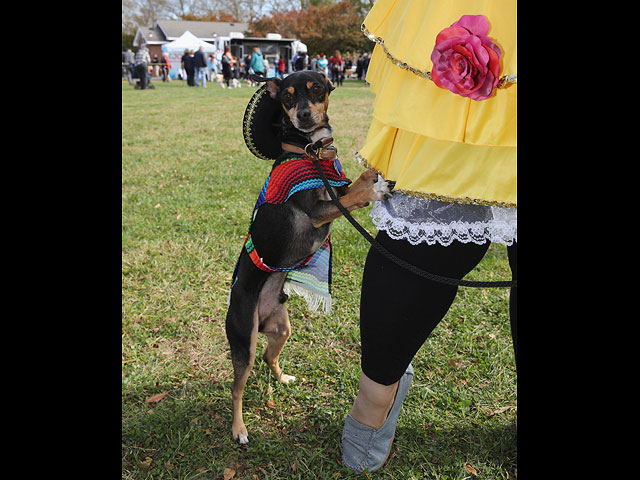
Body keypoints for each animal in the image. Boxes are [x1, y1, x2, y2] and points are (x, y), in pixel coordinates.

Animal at [225, 69, 396, 444]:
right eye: (288, 98)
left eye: (317, 89)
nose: (303, 114)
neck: (310, 151)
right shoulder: (319, 210)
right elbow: (352, 197)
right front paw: (375, 189)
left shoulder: (334, 189)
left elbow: (351, 185)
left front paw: (371, 173)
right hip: (244, 340)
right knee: (237, 387)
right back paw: (239, 429)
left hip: (281, 329)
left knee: (269, 358)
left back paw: (283, 378)